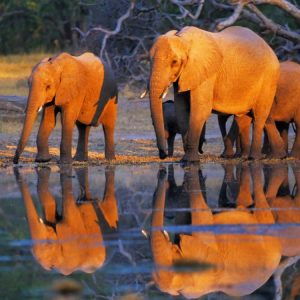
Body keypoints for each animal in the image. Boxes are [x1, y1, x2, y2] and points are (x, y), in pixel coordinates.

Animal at [149, 25, 284, 162]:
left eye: (174, 62)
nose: (163, 155)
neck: (184, 39)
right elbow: (182, 109)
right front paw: (186, 158)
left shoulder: (207, 73)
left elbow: (200, 109)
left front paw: (189, 161)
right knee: (257, 116)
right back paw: (277, 156)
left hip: (269, 79)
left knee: (259, 116)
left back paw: (254, 158)